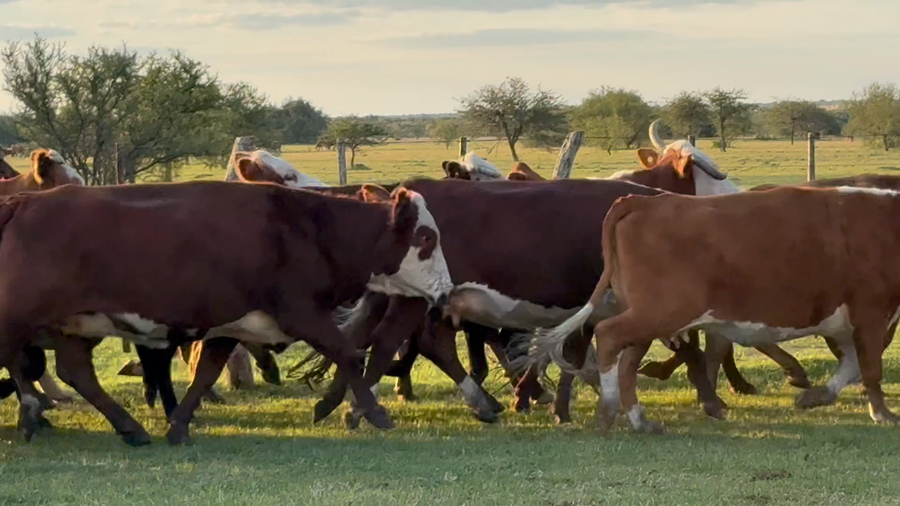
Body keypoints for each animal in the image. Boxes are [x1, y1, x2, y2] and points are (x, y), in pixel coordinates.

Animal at [0, 180, 453, 445]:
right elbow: (348, 354)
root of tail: (21, 203)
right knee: (30, 365)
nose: (447, 292)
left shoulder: (227, 325)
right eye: (426, 238)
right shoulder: (302, 313)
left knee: (75, 371)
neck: (308, 228)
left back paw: (128, 428)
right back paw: (33, 411)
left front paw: (179, 425)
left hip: (73, 327)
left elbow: (205, 373)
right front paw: (373, 412)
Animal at [525, 185, 900, 433]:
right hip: (660, 311)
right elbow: (870, 369)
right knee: (608, 336)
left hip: (648, 317)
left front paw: (817, 396)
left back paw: (639, 419)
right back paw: (608, 410)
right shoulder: (870, 313)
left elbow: (853, 365)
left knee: (627, 360)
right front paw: (882, 413)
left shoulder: (852, 323)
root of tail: (643, 202)